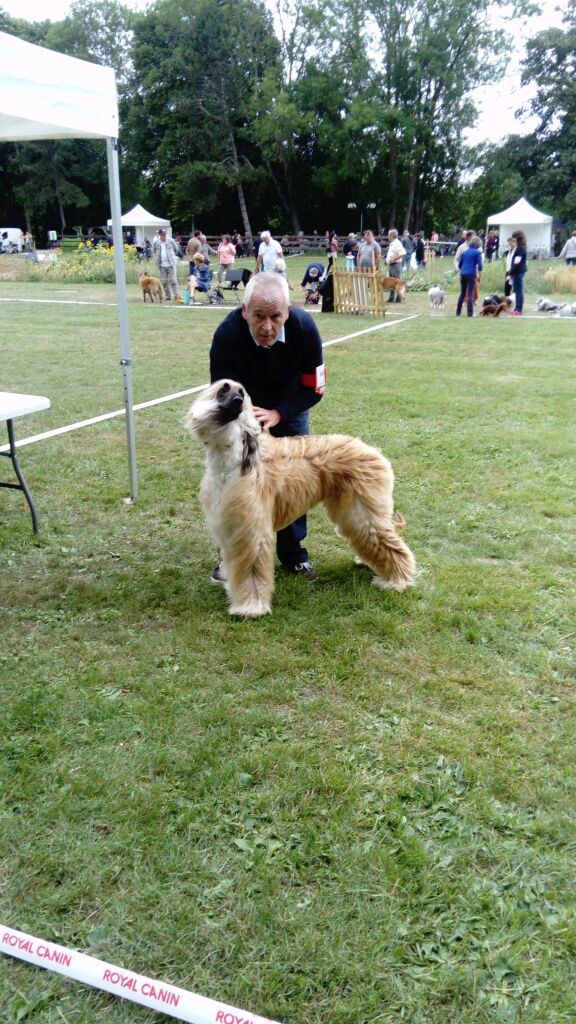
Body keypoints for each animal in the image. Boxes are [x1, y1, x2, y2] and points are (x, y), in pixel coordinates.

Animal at [186, 382, 414, 614]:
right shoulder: (229, 525)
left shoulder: (251, 530)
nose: (238, 402)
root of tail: (373, 451)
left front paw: (250, 607)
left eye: (241, 393)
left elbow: (251, 571)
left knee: (389, 544)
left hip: (361, 510)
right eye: (223, 390)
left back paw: (396, 581)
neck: (237, 453)